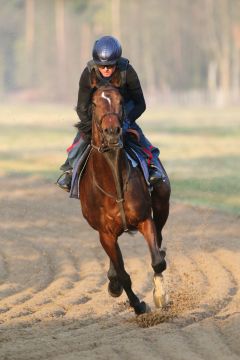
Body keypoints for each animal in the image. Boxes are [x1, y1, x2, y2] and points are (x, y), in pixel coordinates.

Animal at [79, 82, 171, 316]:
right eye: (94, 103)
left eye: (120, 101)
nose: (112, 132)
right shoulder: (105, 234)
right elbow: (123, 275)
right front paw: (138, 305)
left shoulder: (144, 219)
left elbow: (157, 262)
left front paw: (159, 295)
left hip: (161, 200)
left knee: (160, 238)